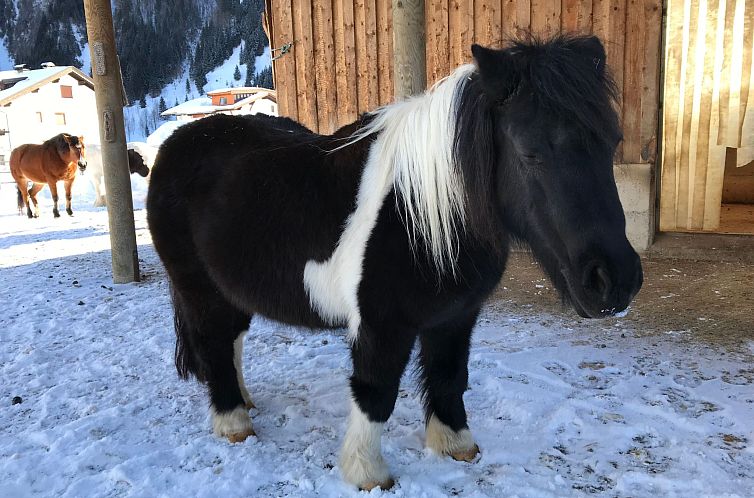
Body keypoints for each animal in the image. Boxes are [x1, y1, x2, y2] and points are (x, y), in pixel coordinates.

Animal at [147, 34, 643, 490]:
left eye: (613, 141)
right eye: (529, 152)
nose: (614, 281)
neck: (419, 214)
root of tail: (179, 143)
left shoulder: (457, 317)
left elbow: (449, 375)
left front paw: (456, 445)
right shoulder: (381, 325)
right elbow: (376, 392)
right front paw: (368, 472)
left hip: (229, 291)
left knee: (231, 341)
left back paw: (245, 401)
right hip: (199, 289)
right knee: (214, 343)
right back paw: (233, 422)